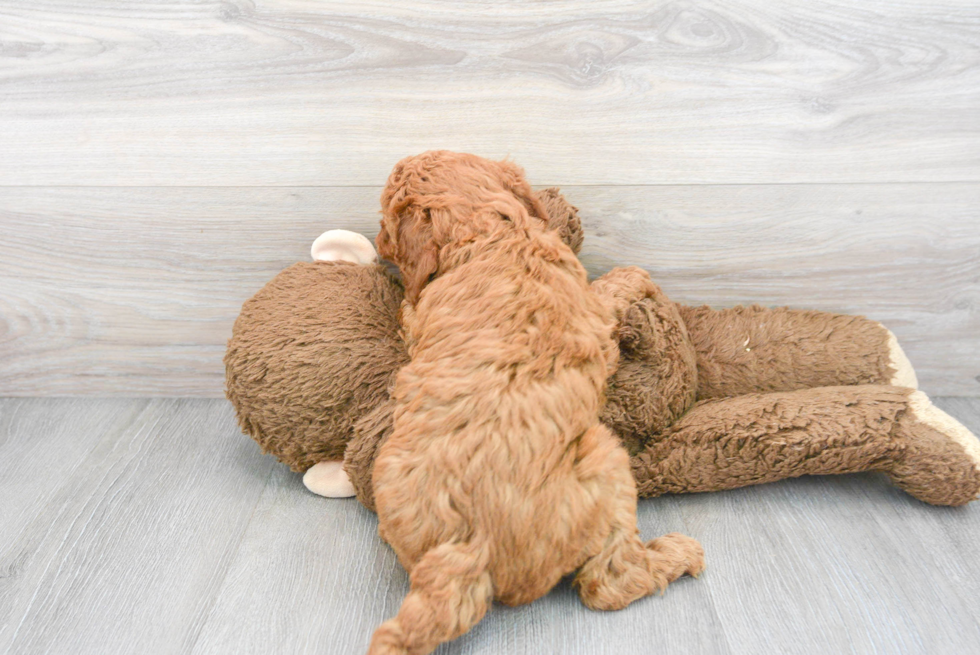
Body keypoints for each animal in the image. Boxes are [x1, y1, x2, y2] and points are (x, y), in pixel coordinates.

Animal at [368, 151, 704, 652]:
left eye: (386, 220)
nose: (375, 242)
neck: (487, 231)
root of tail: (472, 547)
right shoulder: (594, 313)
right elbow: (609, 291)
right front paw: (634, 275)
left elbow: (410, 314)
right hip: (606, 459)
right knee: (609, 583)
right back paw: (677, 554)